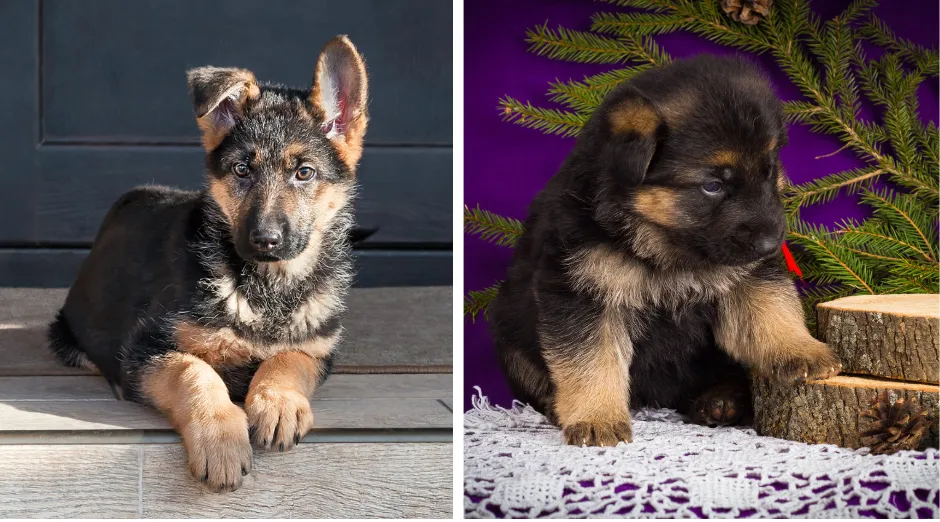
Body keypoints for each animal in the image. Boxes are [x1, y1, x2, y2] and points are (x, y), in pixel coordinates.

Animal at [46, 35, 368, 488]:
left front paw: (278, 402)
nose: (265, 240)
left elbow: (289, 359)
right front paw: (220, 437)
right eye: (242, 170)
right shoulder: (142, 350)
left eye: (304, 173)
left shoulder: (319, 350)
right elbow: (193, 371)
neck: (267, 288)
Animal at [492, 54, 844, 444]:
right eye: (712, 185)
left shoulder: (748, 274)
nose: (770, 245)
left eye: (768, 171)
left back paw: (721, 399)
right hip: (510, 343)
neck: (663, 243)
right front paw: (596, 418)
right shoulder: (582, 293)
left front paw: (801, 350)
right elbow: (591, 360)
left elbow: (772, 310)